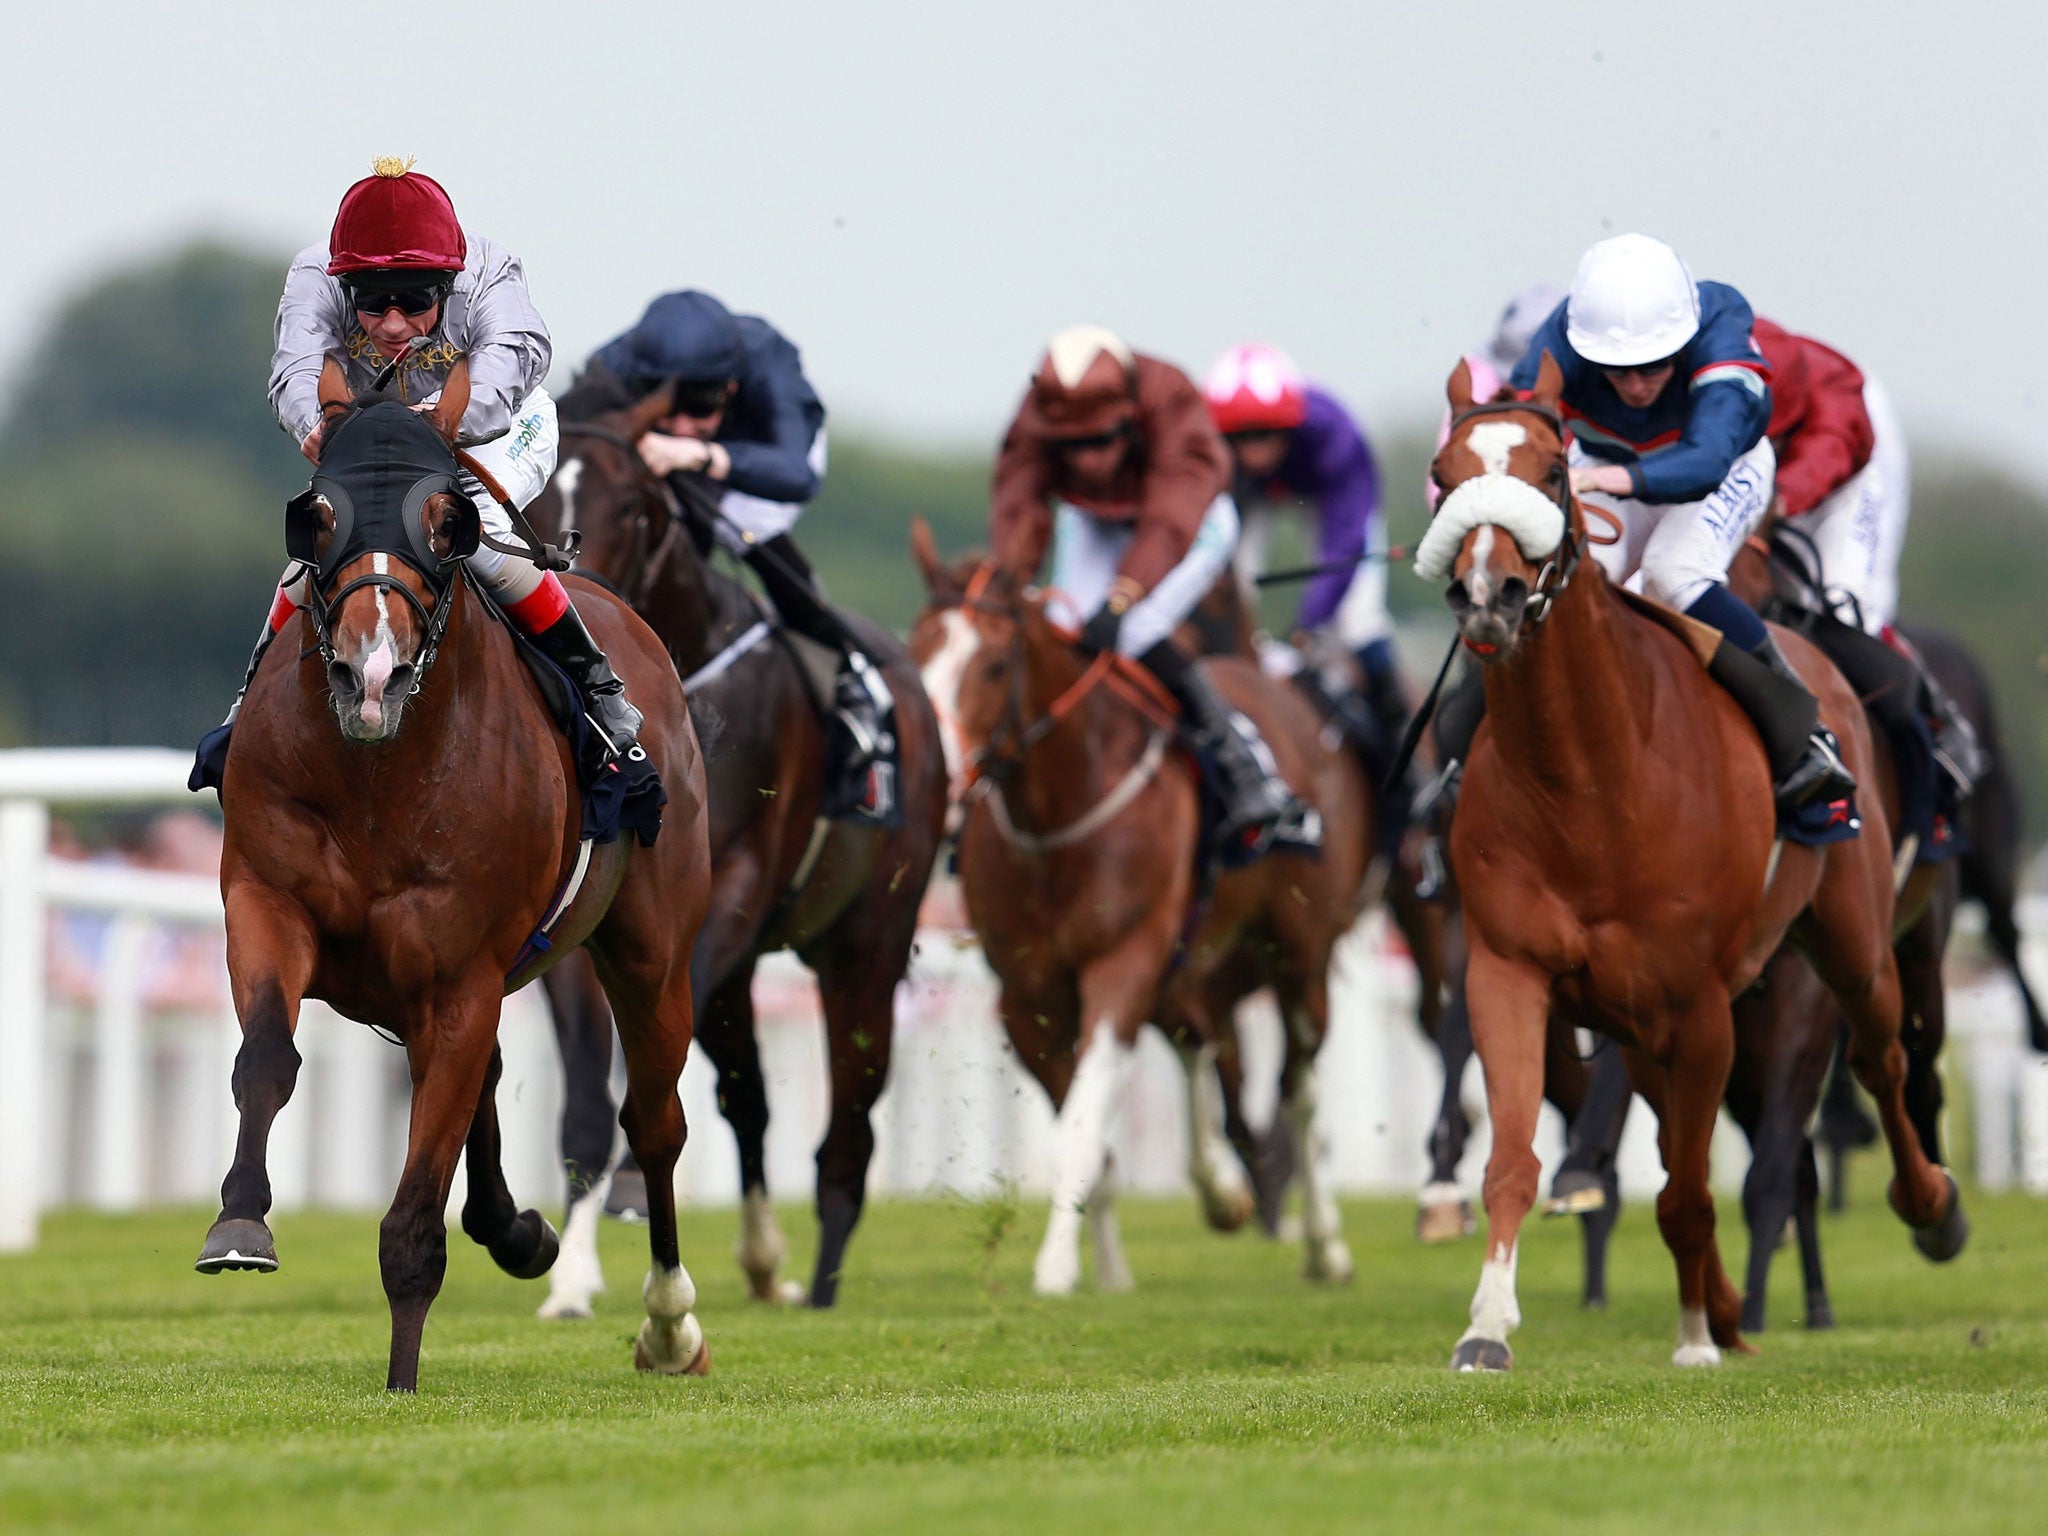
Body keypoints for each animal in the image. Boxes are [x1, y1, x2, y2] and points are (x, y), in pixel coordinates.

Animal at [197, 387, 712, 1392]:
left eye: (447, 523)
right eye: (318, 518)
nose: (372, 673)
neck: (378, 773)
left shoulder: (460, 975)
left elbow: (419, 1197)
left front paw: (402, 1375)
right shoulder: (268, 906)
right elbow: (268, 1056)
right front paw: (240, 1224)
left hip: (651, 952)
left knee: (654, 1121)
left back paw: (670, 1325)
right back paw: (520, 1233)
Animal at [524, 385, 946, 1310]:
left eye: (634, 505)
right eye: (529, 497)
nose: (570, 591)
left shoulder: (733, 893)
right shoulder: (576, 912)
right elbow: (587, 1104)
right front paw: (572, 1276)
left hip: (867, 941)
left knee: (849, 1124)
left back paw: (822, 1280)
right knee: (749, 1100)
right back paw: (761, 1258)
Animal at [905, 536, 1368, 1294]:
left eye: (996, 663)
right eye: (916, 653)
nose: (940, 780)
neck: (1061, 814)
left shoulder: (1120, 964)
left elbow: (1083, 1126)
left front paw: (1056, 1267)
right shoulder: (1027, 999)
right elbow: (1089, 1133)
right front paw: (1108, 1268)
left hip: (1299, 956)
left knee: (1300, 1088)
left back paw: (1325, 1245)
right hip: (1186, 963)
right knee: (1198, 1039)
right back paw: (1221, 1189)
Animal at [1425, 358, 1966, 1368]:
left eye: (1555, 468)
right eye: (1444, 475)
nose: (1489, 593)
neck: (1591, 777)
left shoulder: (1704, 1002)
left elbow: (1690, 1189)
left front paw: (1695, 1336)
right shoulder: (1508, 969)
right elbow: (1518, 1157)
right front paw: (1485, 1327)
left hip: (1852, 942)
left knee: (1881, 1058)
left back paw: (1932, 1208)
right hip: (1637, 1025)